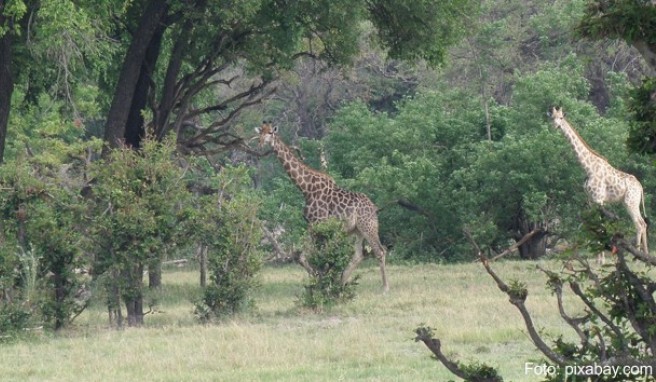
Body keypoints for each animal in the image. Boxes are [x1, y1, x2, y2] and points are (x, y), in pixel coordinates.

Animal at [255, 121, 390, 290]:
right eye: (260, 133)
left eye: (270, 133)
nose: (260, 144)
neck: (305, 188)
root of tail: (374, 207)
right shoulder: (313, 225)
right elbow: (305, 256)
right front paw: (320, 281)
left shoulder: (319, 223)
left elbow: (317, 256)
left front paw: (321, 282)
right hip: (357, 230)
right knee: (359, 254)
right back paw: (341, 282)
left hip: (368, 226)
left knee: (380, 251)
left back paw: (384, 288)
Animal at [548, 105, 644, 254]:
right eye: (552, 117)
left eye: (561, 117)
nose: (555, 126)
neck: (588, 168)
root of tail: (641, 187)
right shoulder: (592, 201)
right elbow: (597, 228)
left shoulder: (599, 199)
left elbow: (601, 227)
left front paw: (600, 256)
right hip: (631, 202)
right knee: (644, 223)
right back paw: (645, 253)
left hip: (631, 202)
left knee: (639, 224)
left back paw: (638, 253)